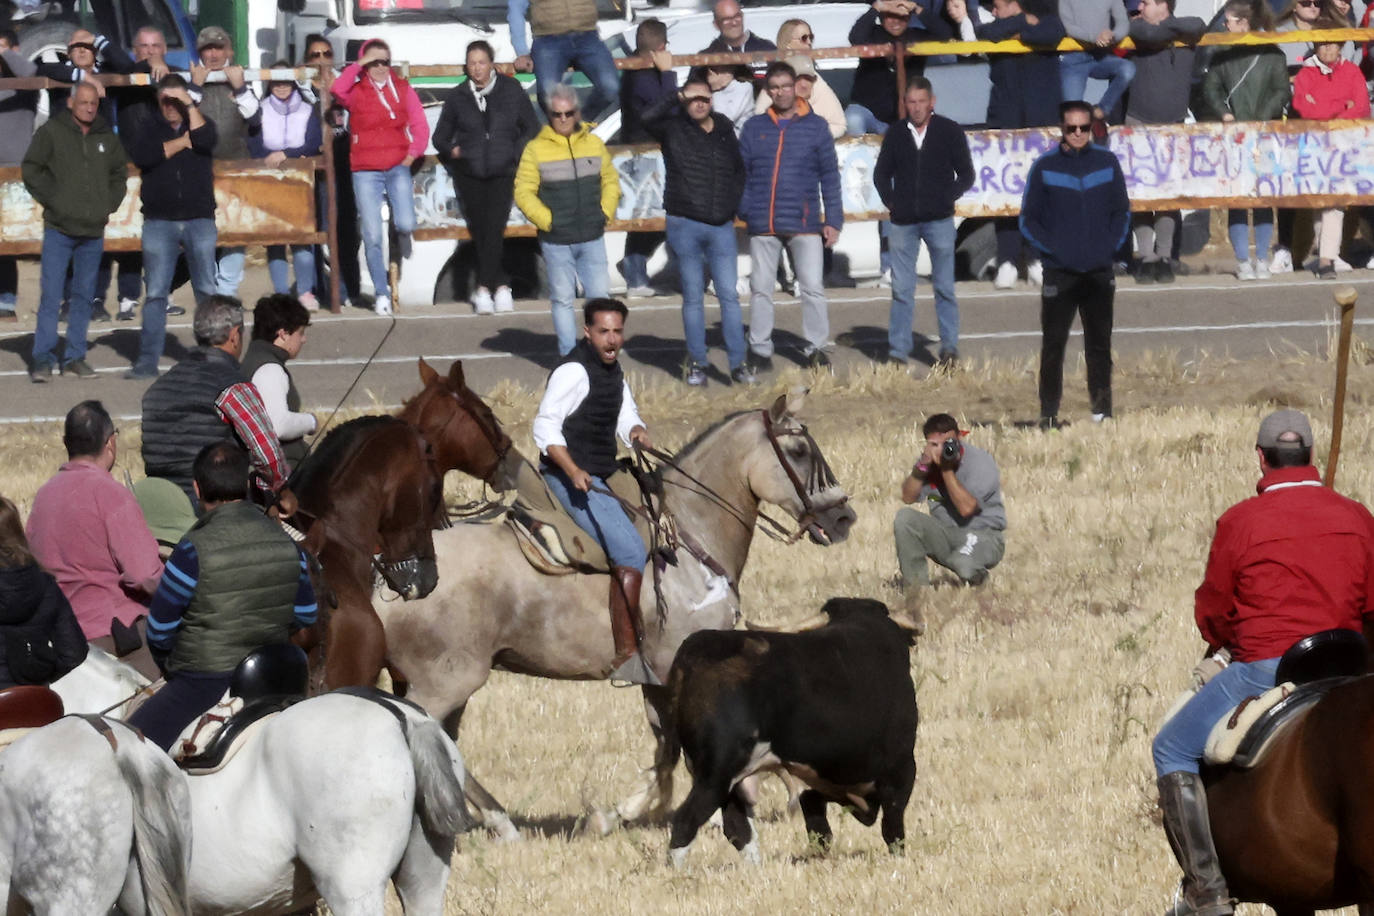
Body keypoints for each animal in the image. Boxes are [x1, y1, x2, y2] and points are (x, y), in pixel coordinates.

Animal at [376, 387, 846, 840]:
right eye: (799, 450)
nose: (844, 517)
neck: (690, 540)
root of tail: (394, 575)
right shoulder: (673, 669)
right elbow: (675, 748)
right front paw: (628, 815)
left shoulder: (659, 679)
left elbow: (668, 746)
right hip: (447, 681)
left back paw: (493, 820)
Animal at [667, 598, 923, 862]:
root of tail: (697, 647)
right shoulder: (901, 769)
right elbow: (893, 831)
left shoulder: (818, 781)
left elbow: (819, 830)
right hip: (715, 774)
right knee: (685, 823)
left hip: (726, 779)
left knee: (737, 827)